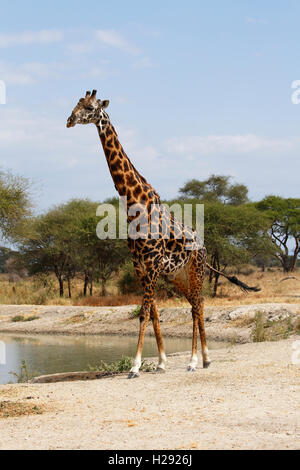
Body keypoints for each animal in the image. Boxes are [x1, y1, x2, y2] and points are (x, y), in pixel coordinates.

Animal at [67, 91, 258, 378]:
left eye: (89, 108)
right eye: (76, 105)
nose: (69, 120)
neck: (134, 203)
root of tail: (203, 246)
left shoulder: (153, 265)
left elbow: (143, 313)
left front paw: (135, 366)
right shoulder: (140, 267)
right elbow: (153, 313)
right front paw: (161, 362)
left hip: (196, 270)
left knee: (196, 306)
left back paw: (194, 361)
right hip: (178, 276)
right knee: (196, 304)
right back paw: (205, 359)